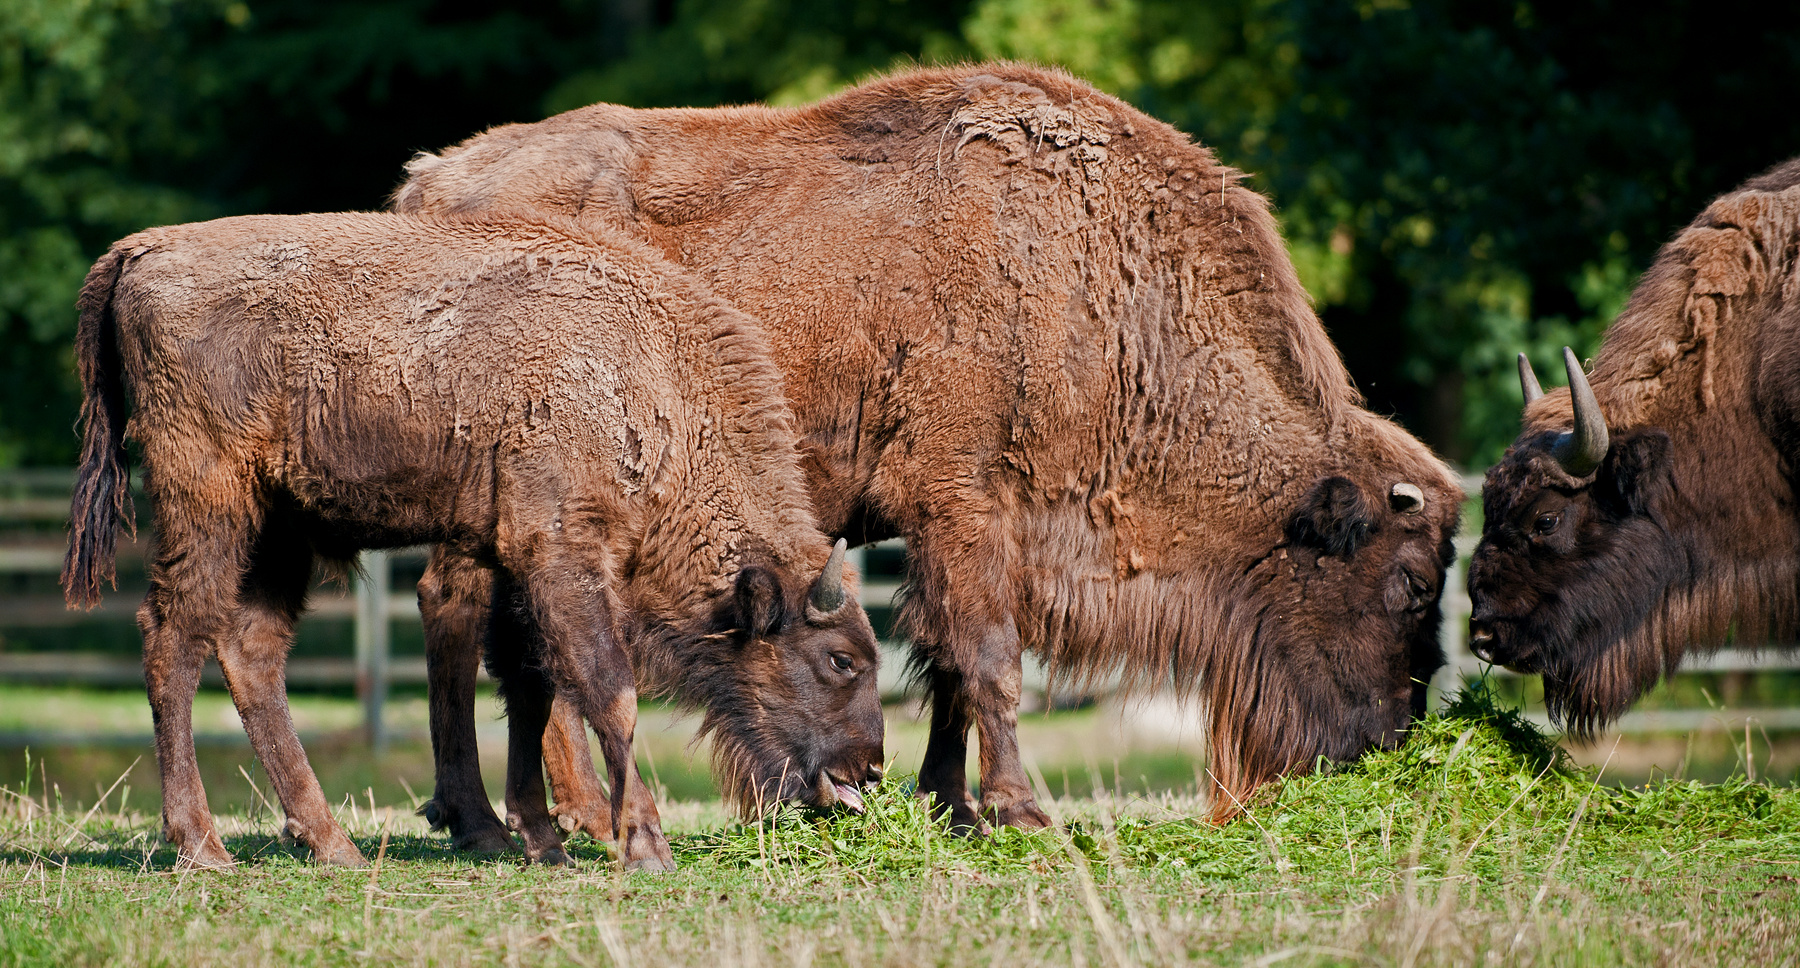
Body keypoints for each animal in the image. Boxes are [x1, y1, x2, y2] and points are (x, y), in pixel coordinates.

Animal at [59, 210, 889, 867]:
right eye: (840, 659)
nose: (869, 770)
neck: (647, 376)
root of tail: (140, 250)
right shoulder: (560, 551)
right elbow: (608, 691)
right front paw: (643, 844)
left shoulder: (512, 559)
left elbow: (530, 687)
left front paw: (542, 843)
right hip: (211, 503)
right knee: (173, 635)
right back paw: (203, 847)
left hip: (280, 529)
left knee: (250, 651)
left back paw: (334, 846)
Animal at [394, 62, 1461, 827]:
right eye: (1409, 584)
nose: (1385, 741)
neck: (1094, 291)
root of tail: (429, 184)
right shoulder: (960, 498)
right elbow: (988, 656)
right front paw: (1023, 812)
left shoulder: (972, 526)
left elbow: (947, 660)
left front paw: (951, 802)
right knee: (477, 613)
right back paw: (549, 814)